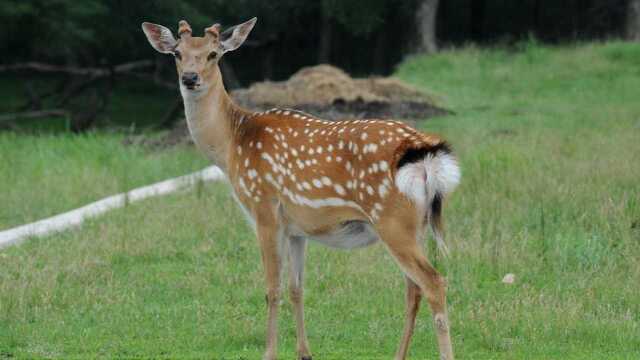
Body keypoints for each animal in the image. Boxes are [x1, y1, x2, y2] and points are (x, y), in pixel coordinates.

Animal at [141, 18, 460, 360]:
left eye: (214, 54)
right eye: (177, 53)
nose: (190, 78)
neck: (230, 146)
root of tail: (425, 154)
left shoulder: (264, 208)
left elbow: (272, 288)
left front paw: (269, 352)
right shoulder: (297, 228)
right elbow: (296, 288)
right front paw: (304, 352)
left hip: (391, 218)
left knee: (433, 283)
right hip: (416, 224)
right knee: (413, 289)